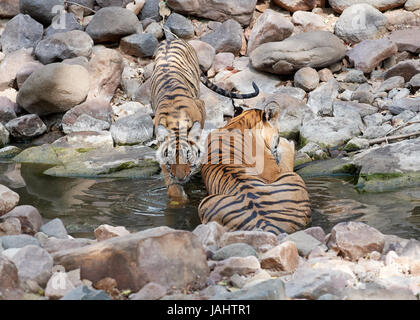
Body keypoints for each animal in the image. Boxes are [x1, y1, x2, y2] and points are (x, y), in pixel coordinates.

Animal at [149, 38, 258, 201]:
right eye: (171, 157)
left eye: (187, 155)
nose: (181, 178)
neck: (176, 123)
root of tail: (170, 38)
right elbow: (171, 184)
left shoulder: (201, 108)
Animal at [198, 102, 312, 235]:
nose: (280, 140)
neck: (237, 123)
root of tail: (264, 224)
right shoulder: (275, 171)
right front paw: (287, 143)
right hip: (294, 177)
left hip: (205, 203)